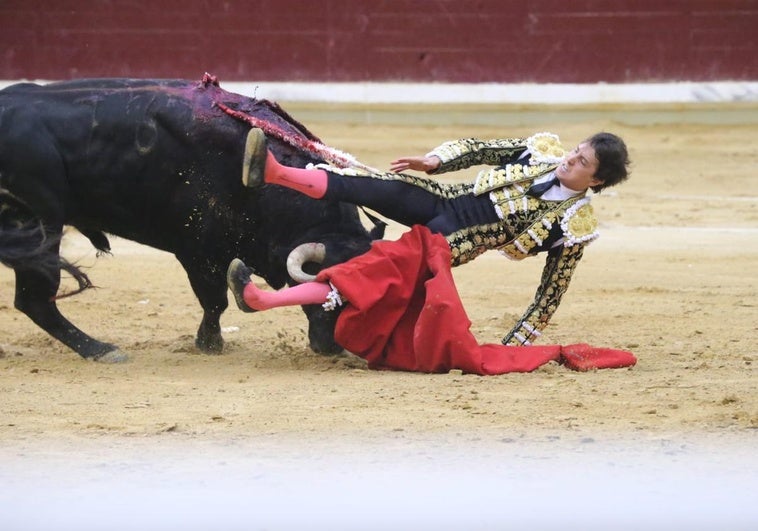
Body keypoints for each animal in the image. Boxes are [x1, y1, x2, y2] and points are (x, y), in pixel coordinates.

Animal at [0, 76, 382, 362]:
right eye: (323, 288)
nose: (333, 348)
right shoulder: (199, 250)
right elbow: (215, 301)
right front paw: (209, 344)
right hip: (39, 227)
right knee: (34, 301)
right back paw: (100, 350)